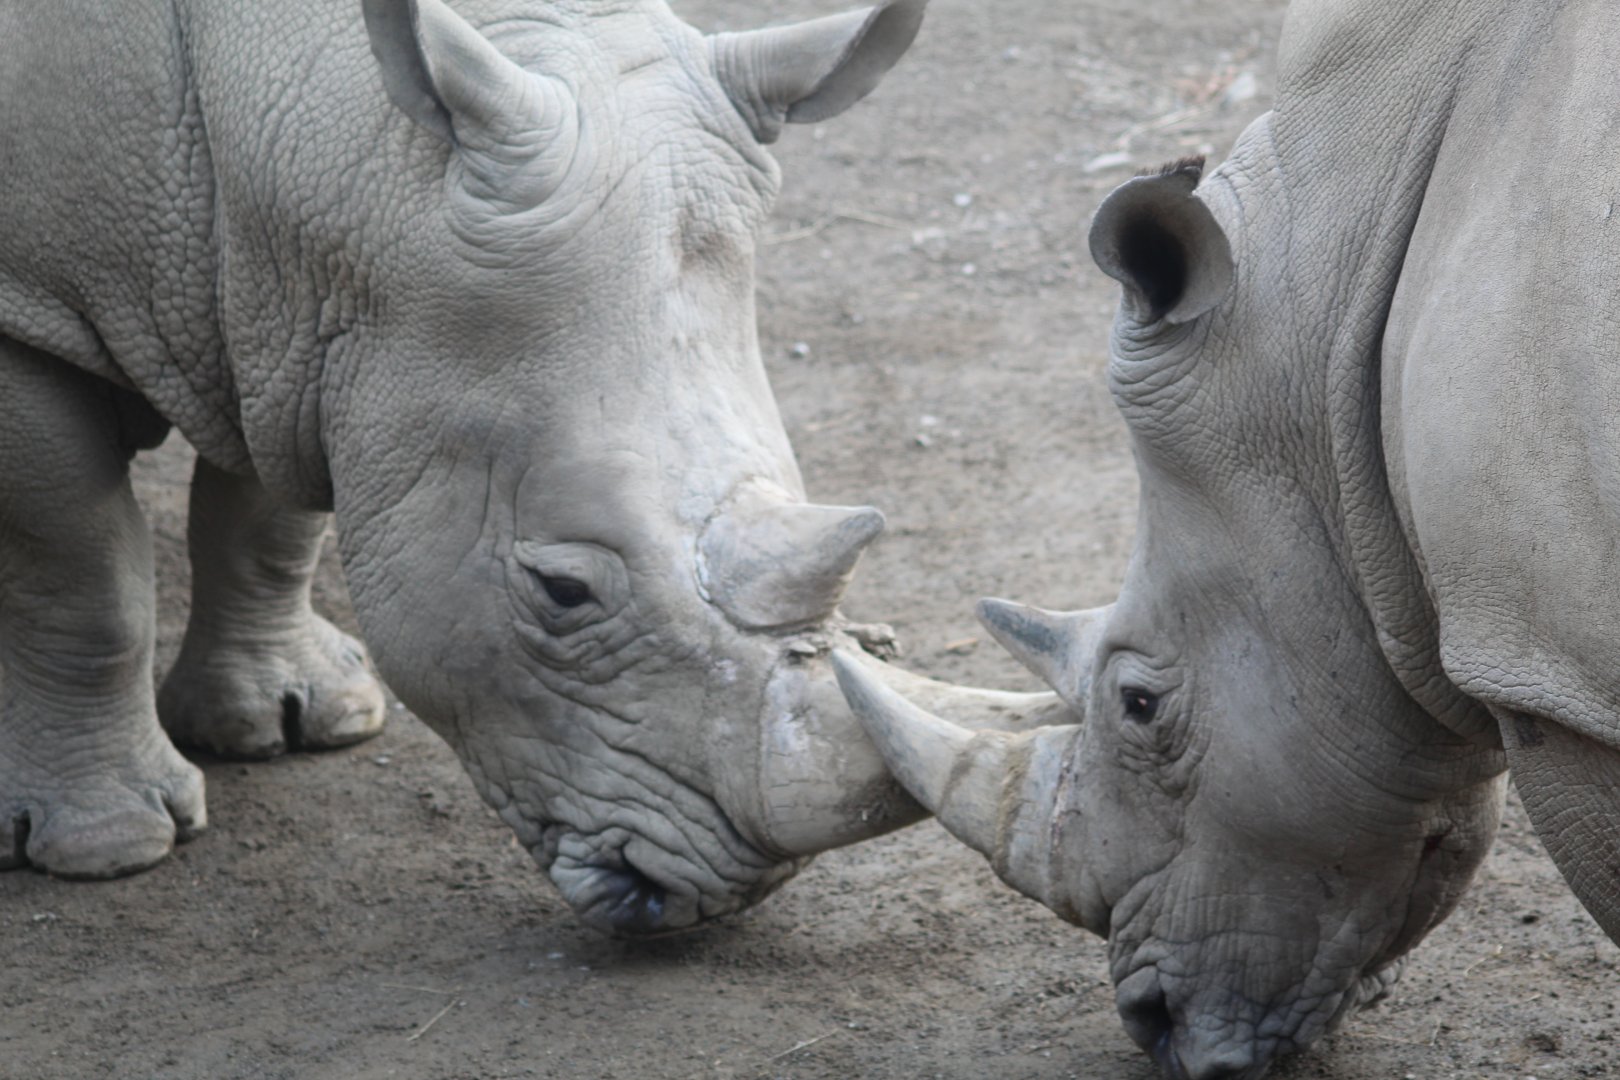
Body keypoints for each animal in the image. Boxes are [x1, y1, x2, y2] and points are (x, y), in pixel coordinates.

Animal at [0, 0, 1060, 938]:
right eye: (562, 591)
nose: (714, 900)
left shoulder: (287, 327)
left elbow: (265, 519)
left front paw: (292, 719)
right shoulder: (31, 311)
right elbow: (83, 580)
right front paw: (110, 848)